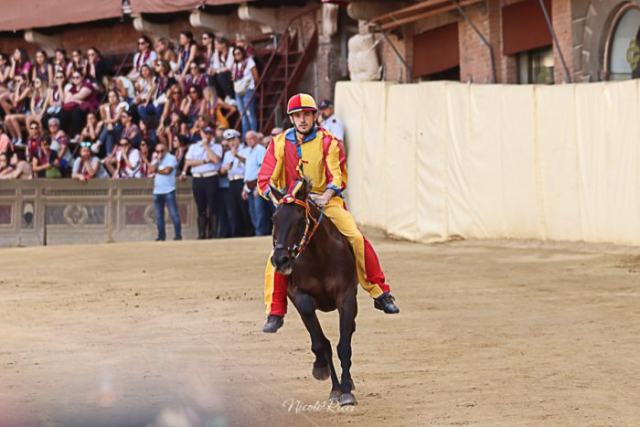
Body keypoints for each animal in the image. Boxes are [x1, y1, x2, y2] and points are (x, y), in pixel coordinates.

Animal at [269, 179, 358, 406]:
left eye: (301, 219)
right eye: (274, 218)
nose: (281, 260)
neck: (319, 257)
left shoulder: (346, 296)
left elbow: (344, 344)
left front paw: (346, 390)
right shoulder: (299, 296)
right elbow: (321, 342)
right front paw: (331, 382)